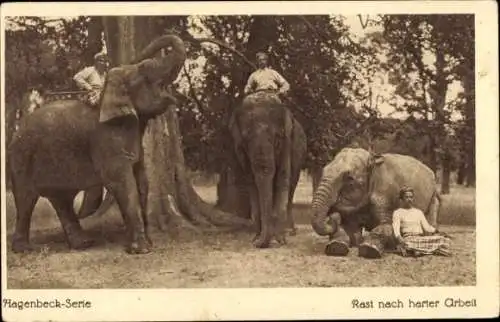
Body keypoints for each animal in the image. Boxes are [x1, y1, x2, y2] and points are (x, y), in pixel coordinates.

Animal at [7, 32, 188, 254]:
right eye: (146, 68)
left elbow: (141, 180)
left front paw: (149, 244)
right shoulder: (106, 138)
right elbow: (121, 181)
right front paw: (141, 250)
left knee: (61, 198)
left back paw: (83, 244)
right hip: (21, 155)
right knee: (26, 198)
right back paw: (24, 249)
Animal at [229, 92, 306, 248]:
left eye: (277, 138)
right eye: (246, 139)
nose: (257, 243)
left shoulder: (287, 143)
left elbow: (282, 177)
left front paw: (281, 240)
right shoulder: (240, 150)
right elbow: (252, 183)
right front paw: (256, 238)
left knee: (291, 187)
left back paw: (290, 231)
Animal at [310, 148, 440, 260]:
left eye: (349, 178)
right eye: (324, 170)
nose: (332, 215)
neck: (373, 159)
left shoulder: (385, 195)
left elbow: (386, 226)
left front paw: (370, 250)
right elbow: (349, 227)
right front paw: (336, 247)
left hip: (433, 195)